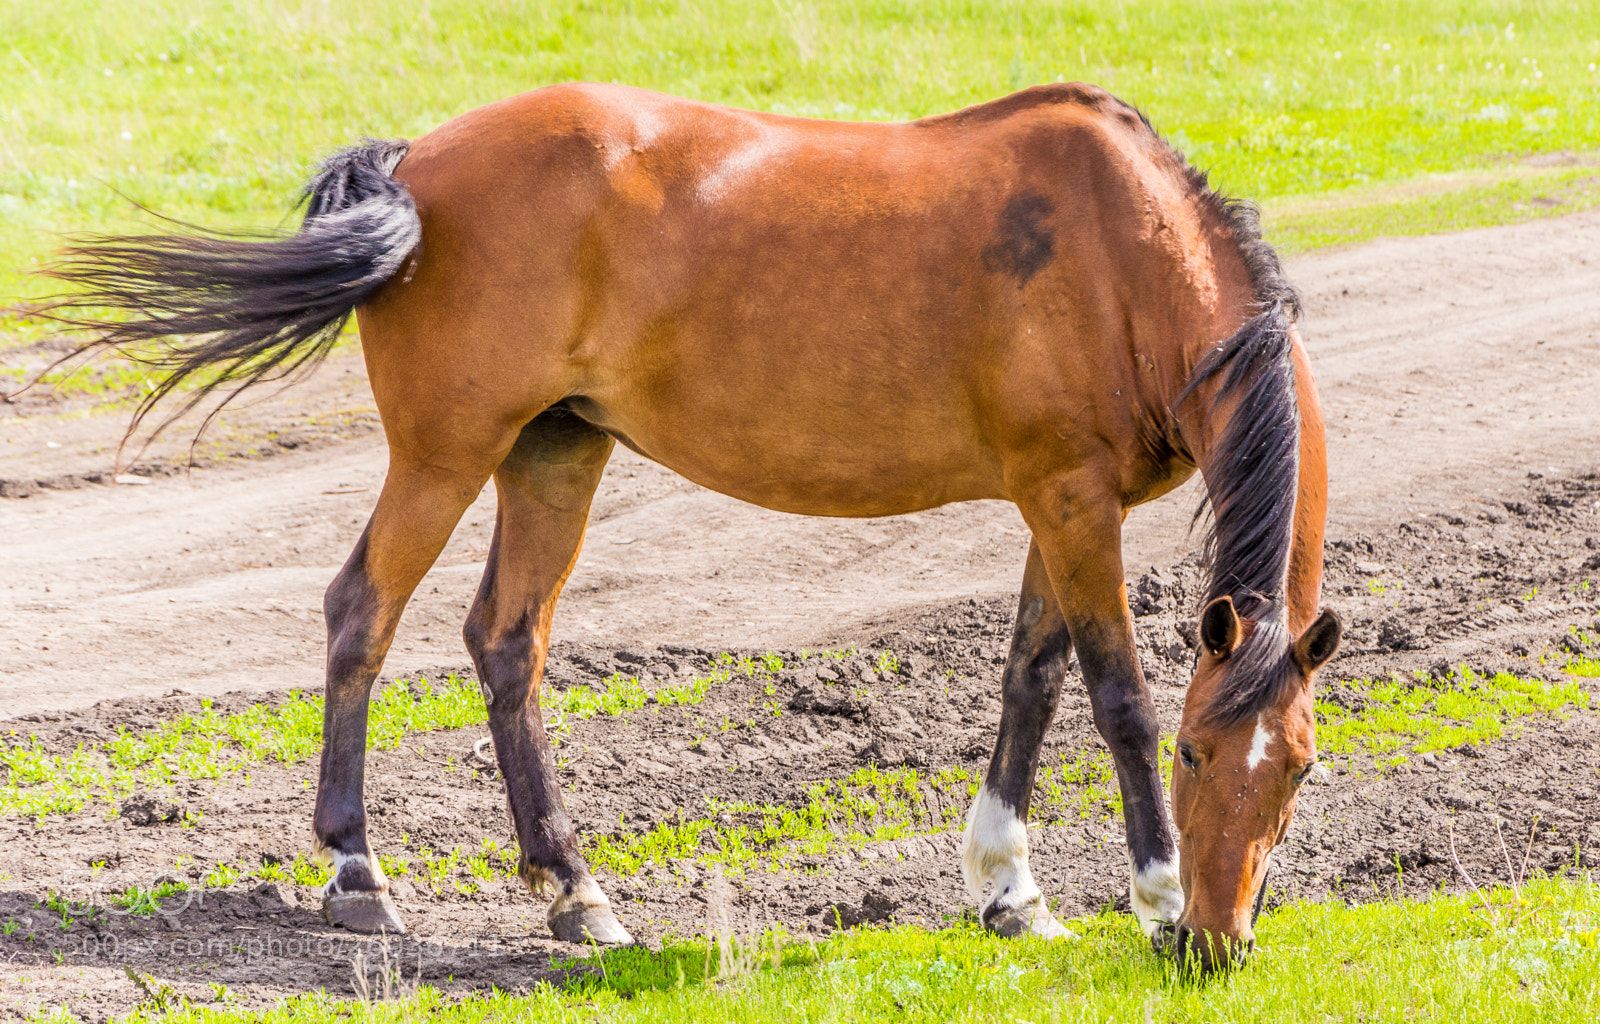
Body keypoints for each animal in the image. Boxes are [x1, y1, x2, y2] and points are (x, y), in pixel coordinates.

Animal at [43, 81, 1340, 971]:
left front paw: (1010, 891)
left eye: (1297, 770)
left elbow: (1031, 674)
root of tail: (417, 163)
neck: (1120, 254)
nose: (1221, 942)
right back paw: (359, 875)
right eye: (1196, 756)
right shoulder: (1068, 499)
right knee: (361, 613)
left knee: (506, 641)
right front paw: (1152, 896)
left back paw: (576, 891)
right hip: (444, 455)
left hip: (555, 452)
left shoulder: (1057, 500)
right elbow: (1115, 694)